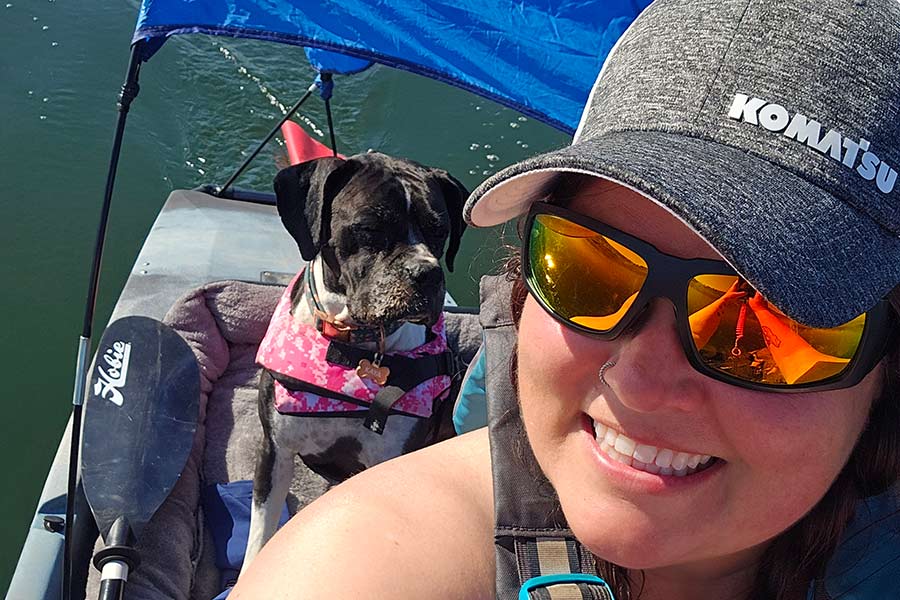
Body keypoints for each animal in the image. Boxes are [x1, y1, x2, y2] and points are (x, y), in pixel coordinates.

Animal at [244, 151, 472, 572]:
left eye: (440, 231)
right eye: (369, 228)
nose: (427, 273)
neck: (350, 349)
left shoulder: (386, 465)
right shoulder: (274, 452)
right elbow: (259, 537)